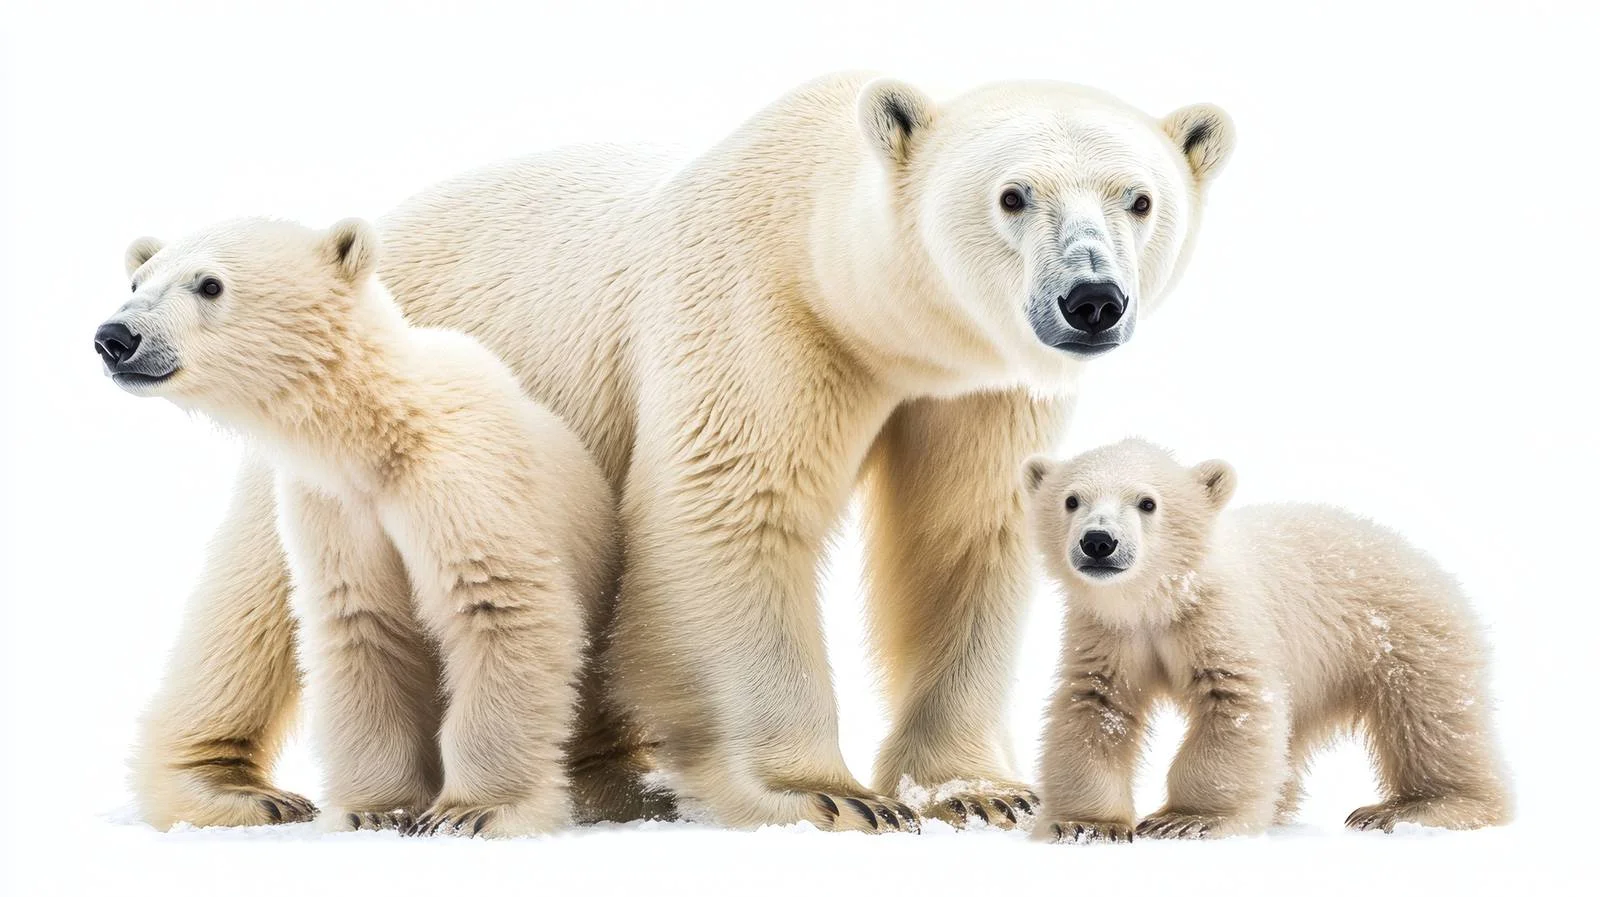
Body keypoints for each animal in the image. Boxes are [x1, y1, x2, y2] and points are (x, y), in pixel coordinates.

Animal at [98, 217, 617, 837]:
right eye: (135, 281)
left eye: (209, 285)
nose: (115, 337)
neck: (383, 433)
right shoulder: (333, 506)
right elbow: (363, 622)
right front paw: (378, 809)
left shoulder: (463, 479)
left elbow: (497, 603)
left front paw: (473, 810)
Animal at [1021, 439, 1511, 841]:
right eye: (1071, 500)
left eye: (1147, 502)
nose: (1098, 541)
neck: (1160, 599)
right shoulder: (1108, 634)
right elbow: (1095, 707)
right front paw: (1086, 824)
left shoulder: (1220, 619)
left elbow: (1235, 703)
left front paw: (1188, 819)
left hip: (1405, 635)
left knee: (1430, 722)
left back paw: (1413, 808)